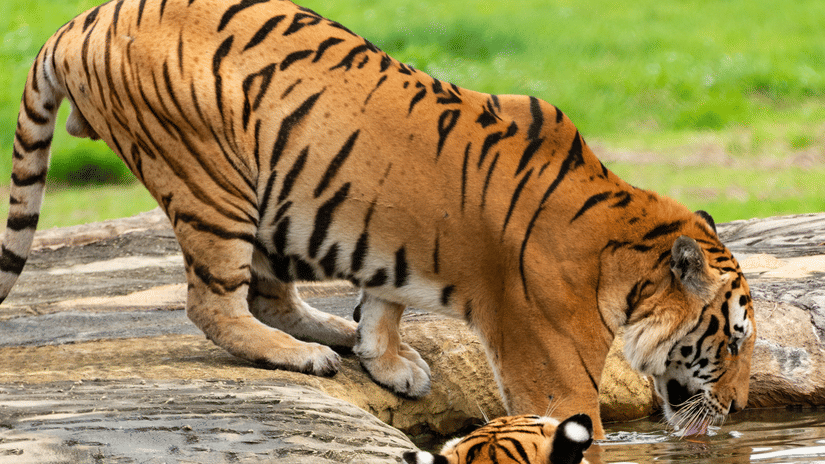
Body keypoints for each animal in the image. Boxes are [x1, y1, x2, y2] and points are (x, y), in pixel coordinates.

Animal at [0, 0, 755, 439]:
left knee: (267, 292)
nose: (744, 407)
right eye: (733, 341)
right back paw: (298, 354)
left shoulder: (390, 233)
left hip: (271, 196)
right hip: (210, 179)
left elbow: (385, 298)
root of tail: (75, 22)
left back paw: (329, 333)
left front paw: (387, 360)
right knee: (213, 302)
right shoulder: (555, 371)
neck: (621, 257)